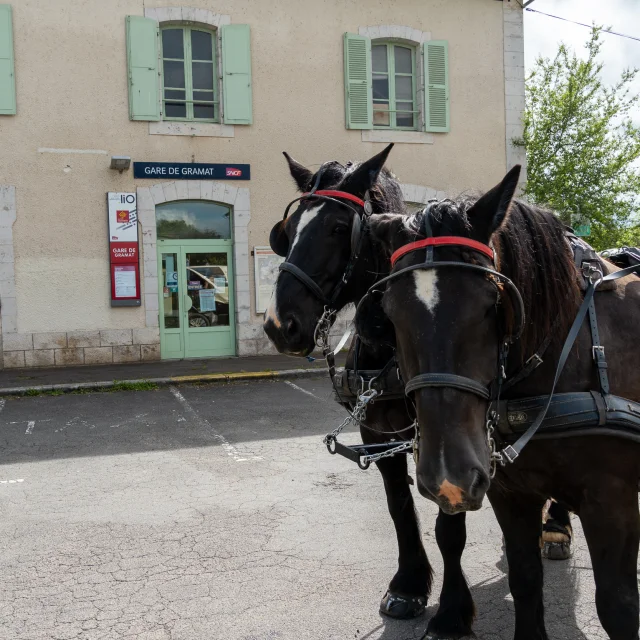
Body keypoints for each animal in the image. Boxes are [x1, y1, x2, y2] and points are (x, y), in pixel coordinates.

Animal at [262, 146, 478, 640]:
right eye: (288, 230)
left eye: (339, 228)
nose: (280, 325)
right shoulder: (378, 434)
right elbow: (399, 507)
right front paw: (409, 585)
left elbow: (449, 527)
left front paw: (452, 611)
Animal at [364, 166, 640, 640]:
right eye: (390, 310)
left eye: (493, 303)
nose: (449, 477)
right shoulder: (510, 492)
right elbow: (525, 580)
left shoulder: (614, 500)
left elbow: (618, 607)